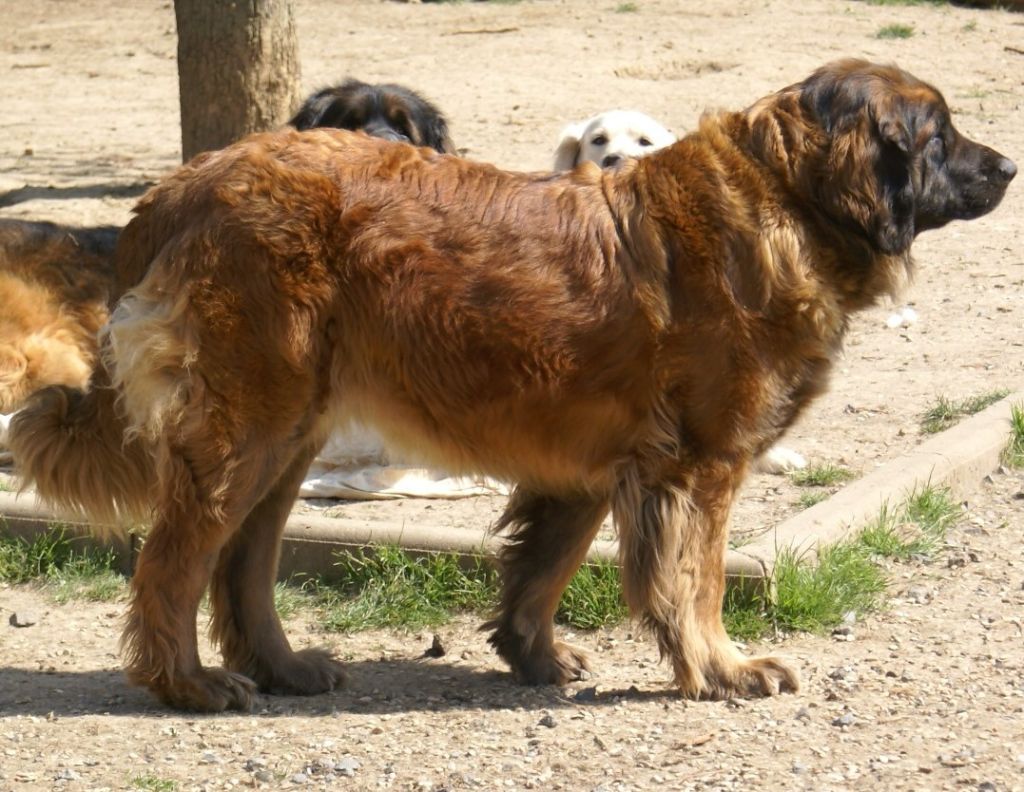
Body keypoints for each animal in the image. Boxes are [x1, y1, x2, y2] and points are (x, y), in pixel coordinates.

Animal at [9, 58, 1015, 709]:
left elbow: (546, 564)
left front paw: (533, 656)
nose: (1008, 165)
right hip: (246, 429)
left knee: (243, 563)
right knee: (175, 562)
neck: (785, 199)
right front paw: (724, 669)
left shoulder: (597, 458)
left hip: (288, 435)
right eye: (937, 135)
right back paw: (187, 683)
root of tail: (181, 184)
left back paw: (284, 669)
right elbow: (696, 581)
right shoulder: (700, 465)